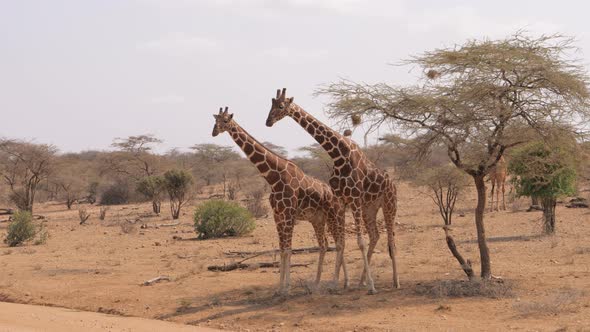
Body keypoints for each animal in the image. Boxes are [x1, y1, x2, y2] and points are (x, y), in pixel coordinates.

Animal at [213, 107, 350, 294]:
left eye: (226, 120)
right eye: (215, 120)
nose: (214, 132)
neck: (273, 177)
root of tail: (340, 199)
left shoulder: (289, 214)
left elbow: (288, 250)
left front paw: (287, 288)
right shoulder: (277, 215)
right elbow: (281, 249)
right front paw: (279, 288)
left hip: (334, 216)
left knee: (340, 244)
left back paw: (338, 282)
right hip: (318, 220)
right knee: (326, 245)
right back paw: (320, 283)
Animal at [268, 89, 402, 294]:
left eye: (281, 106)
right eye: (271, 104)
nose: (268, 121)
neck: (338, 154)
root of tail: (393, 184)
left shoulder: (354, 198)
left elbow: (358, 242)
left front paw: (370, 286)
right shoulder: (341, 200)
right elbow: (342, 242)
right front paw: (336, 283)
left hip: (389, 204)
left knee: (391, 240)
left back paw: (395, 282)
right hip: (369, 208)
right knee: (375, 236)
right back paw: (361, 281)